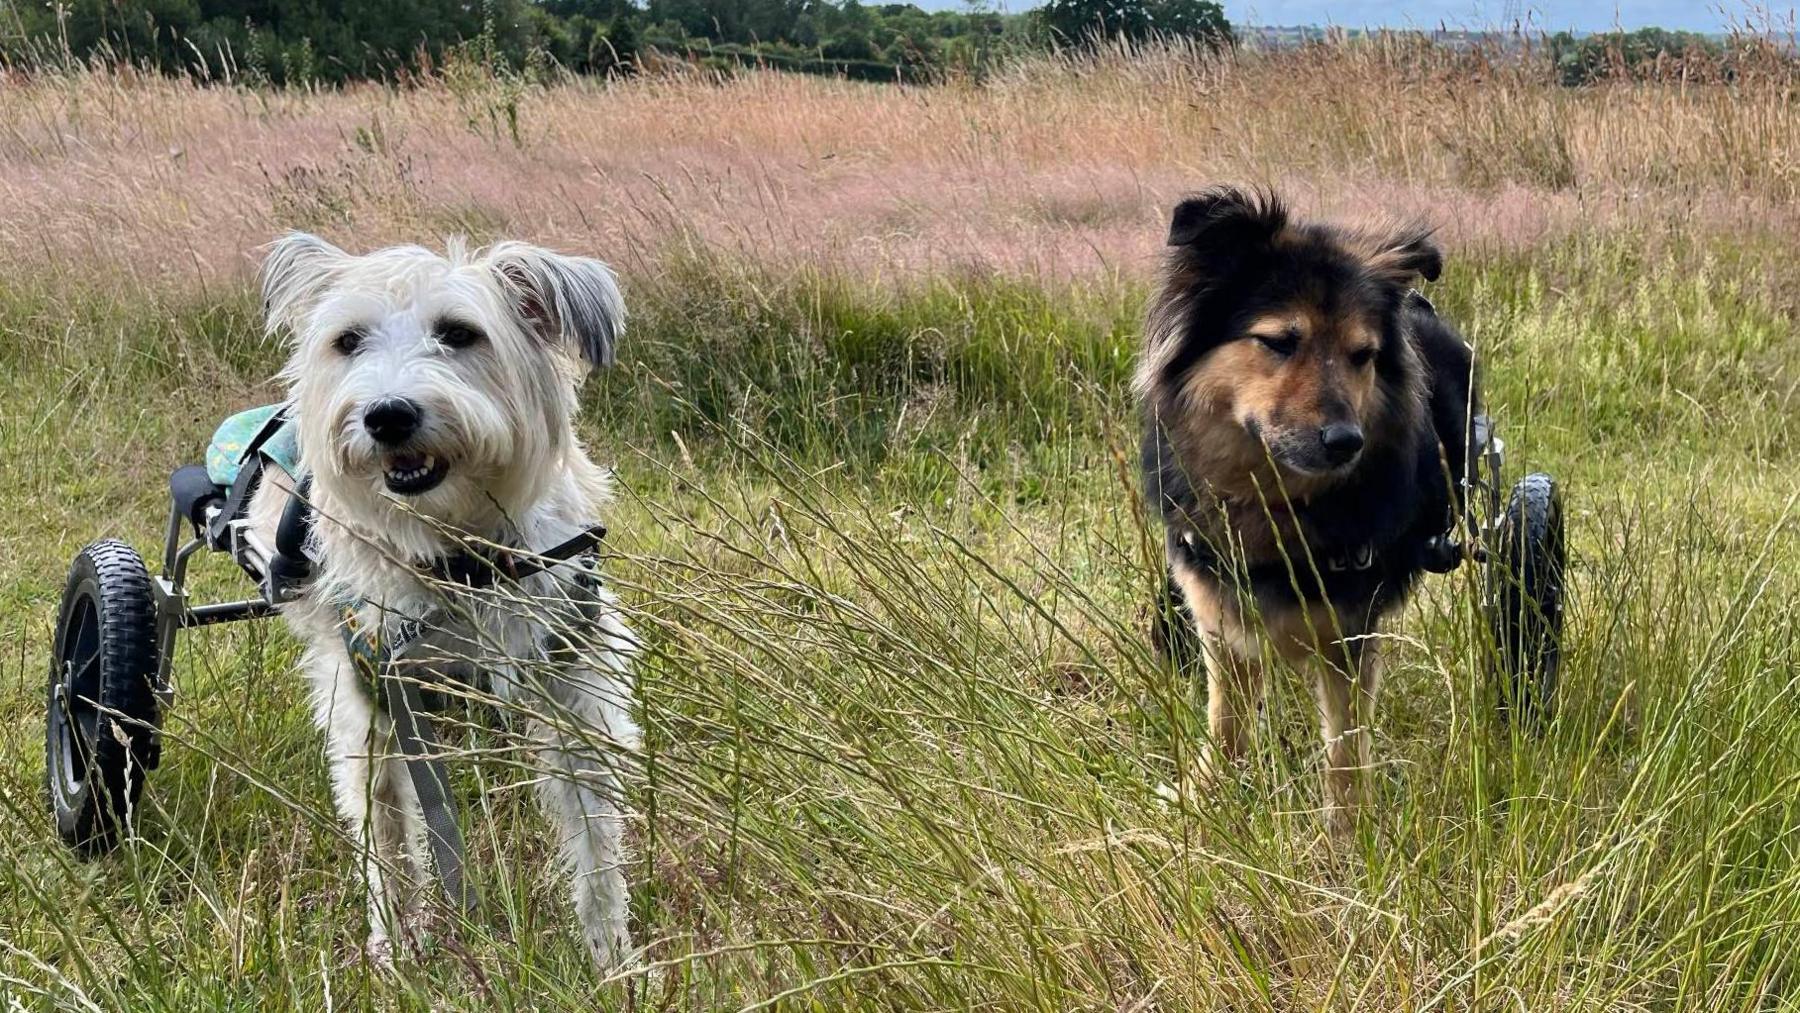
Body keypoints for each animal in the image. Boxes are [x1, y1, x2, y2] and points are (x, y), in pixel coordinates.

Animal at [246, 233, 640, 971]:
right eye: (348, 340)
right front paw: (393, 947)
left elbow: (594, 838)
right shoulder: (370, 700)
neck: (455, 555)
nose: (387, 414)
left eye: (459, 333)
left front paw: (614, 959)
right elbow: (386, 835)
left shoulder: (572, 683)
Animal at [1137, 188, 1476, 831]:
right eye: (1279, 341)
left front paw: (1347, 836)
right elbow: (1225, 722)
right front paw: (1204, 798)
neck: (1274, 503)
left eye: (1362, 355)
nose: (1346, 442)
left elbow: (1344, 746)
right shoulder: (1220, 618)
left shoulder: (1348, 634)